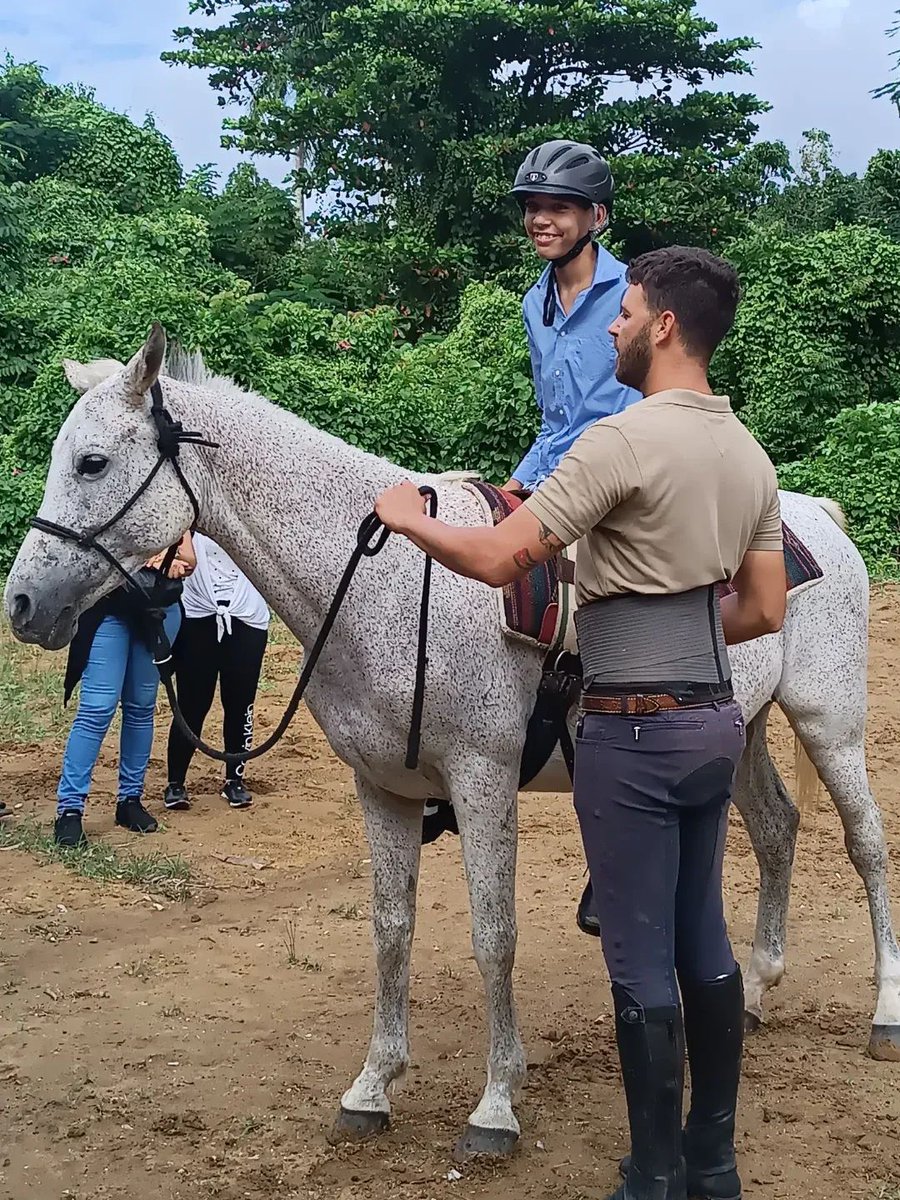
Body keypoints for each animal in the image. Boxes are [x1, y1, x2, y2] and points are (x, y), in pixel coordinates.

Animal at [5, 326, 900, 1161]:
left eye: (91, 462)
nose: (21, 604)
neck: (393, 580)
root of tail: (812, 514)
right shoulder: (383, 788)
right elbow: (389, 930)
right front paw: (373, 1085)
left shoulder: (482, 778)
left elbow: (492, 937)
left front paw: (496, 1103)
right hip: (739, 733)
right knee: (777, 830)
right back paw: (754, 991)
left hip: (828, 722)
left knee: (864, 842)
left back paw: (885, 1010)